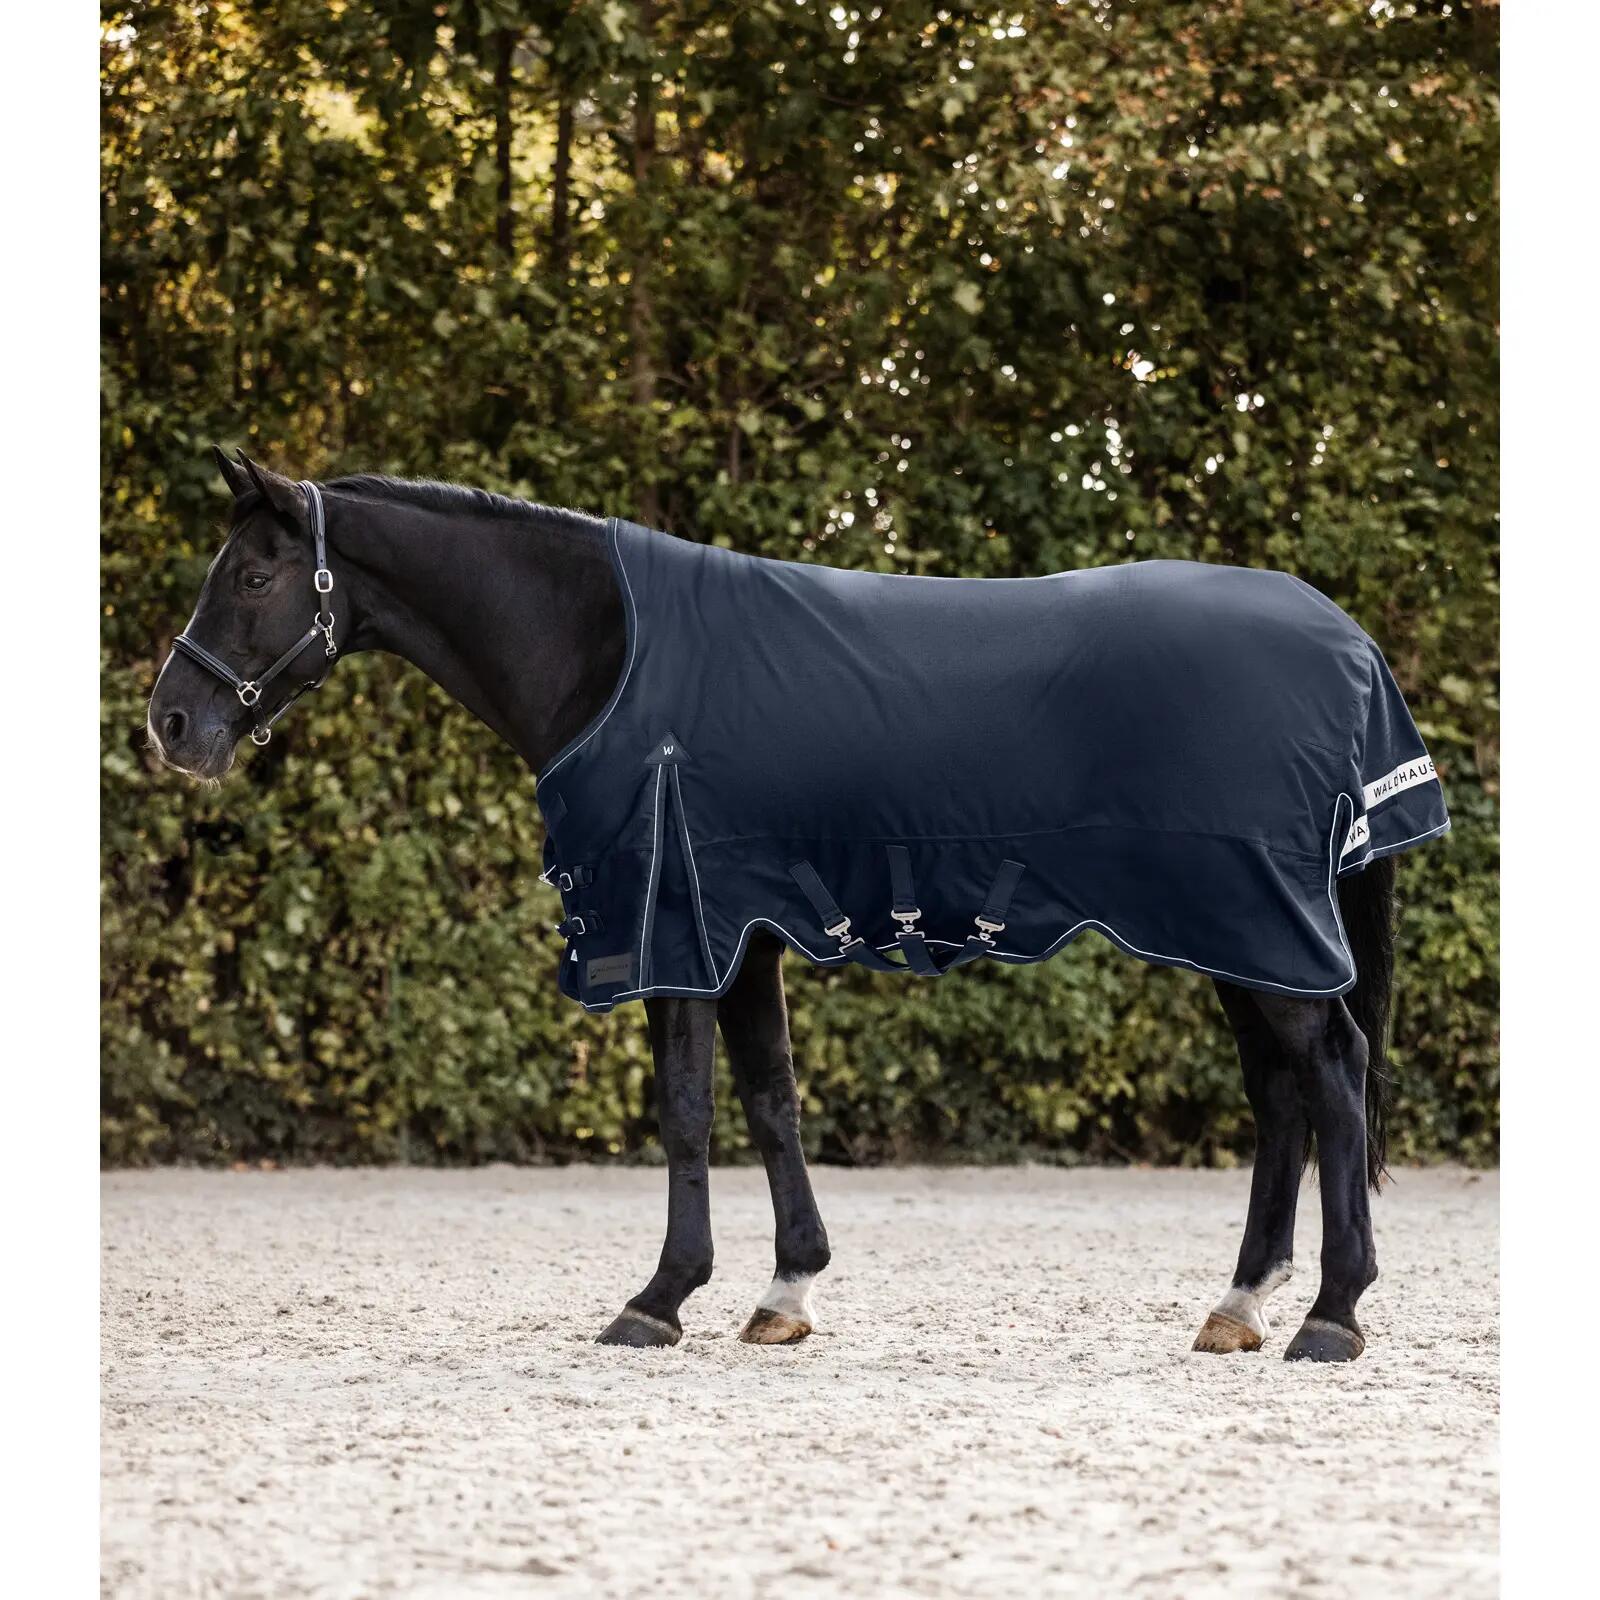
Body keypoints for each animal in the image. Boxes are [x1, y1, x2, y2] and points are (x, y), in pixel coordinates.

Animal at [146, 449, 1443, 1363]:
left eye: (252, 575)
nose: (171, 723)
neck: (611, 654)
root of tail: (1345, 641)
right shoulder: (743, 935)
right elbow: (769, 1100)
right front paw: (784, 1288)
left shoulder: (676, 928)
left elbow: (684, 1109)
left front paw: (659, 1297)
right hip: (1241, 934)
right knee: (1281, 1094)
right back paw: (1240, 1302)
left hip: (1255, 919)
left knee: (1330, 1073)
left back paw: (1332, 1312)